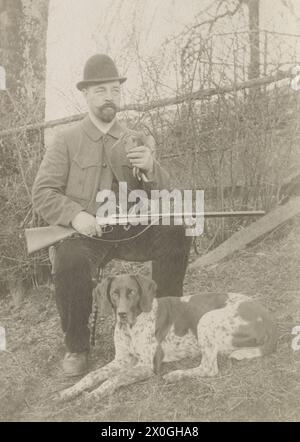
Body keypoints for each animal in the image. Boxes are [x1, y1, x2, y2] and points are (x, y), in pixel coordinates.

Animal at [59, 272, 278, 400]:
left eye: (132, 292)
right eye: (114, 293)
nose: (121, 314)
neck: (130, 327)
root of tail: (268, 319)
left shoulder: (147, 365)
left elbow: (115, 378)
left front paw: (97, 393)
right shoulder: (121, 359)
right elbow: (91, 375)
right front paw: (70, 391)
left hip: (206, 319)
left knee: (209, 368)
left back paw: (176, 374)